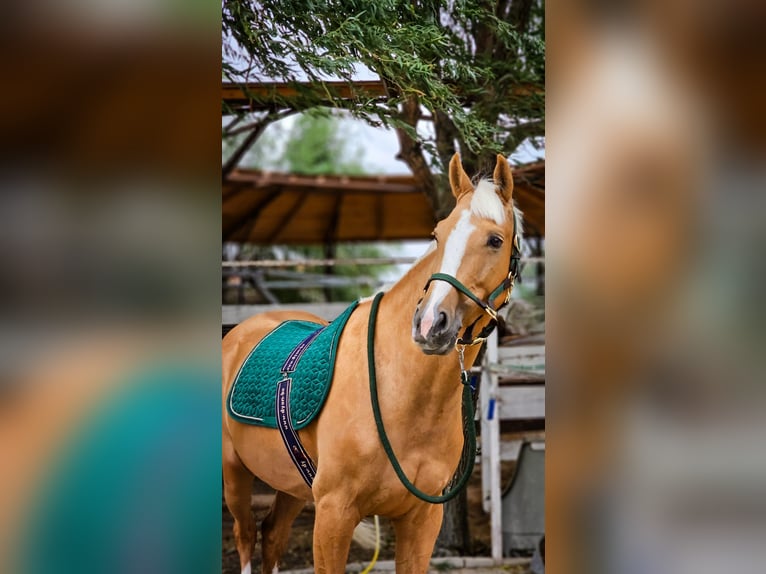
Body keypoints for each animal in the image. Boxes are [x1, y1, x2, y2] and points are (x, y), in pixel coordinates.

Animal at [222, 154, 520, 574]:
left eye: (495, 240)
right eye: (438, 235)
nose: (430, 324)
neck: (400, 393)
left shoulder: (422, 520)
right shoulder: (333, 513)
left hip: (291, 485)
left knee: (274, 534)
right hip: (235, 474)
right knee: (246, 535)